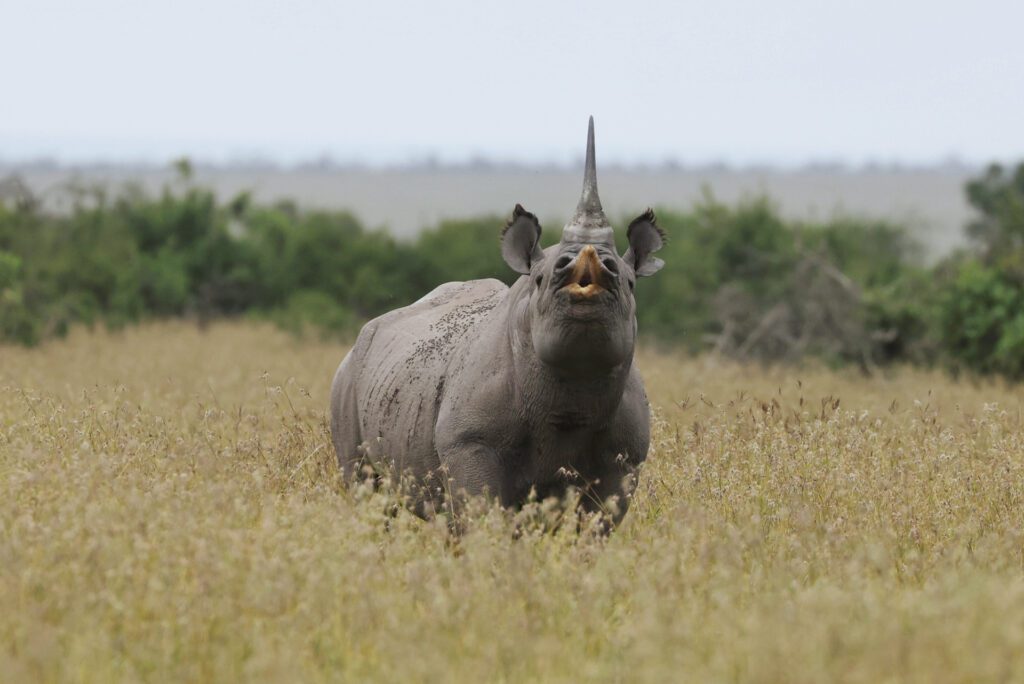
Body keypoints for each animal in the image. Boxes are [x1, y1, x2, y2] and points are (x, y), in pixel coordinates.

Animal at [330, 117, 665, 524]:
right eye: (540, 279)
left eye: (629, 282)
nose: (589, 266)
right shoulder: (471, 442)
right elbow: (483, 515)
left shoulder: (625, 458)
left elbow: (597, 522)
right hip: (348, 377)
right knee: (366, 487)